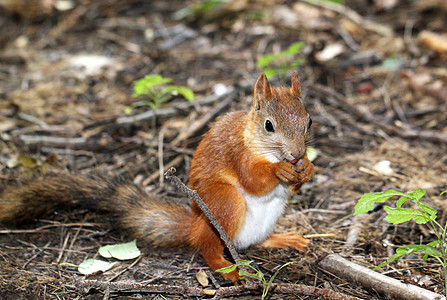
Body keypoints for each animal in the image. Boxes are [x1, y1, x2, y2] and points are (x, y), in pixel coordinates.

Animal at [0, 71, 316, 282]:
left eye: (309, 120)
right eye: (268, 126)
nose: (297, 153)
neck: (262, 146)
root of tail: (195, 227)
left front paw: (308, 168)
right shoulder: (237, 153)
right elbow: (253, 180)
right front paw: (278, 171)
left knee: (249, 243)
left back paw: (281, 239)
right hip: (224, 202)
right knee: (208, 248)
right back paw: (226, 268)